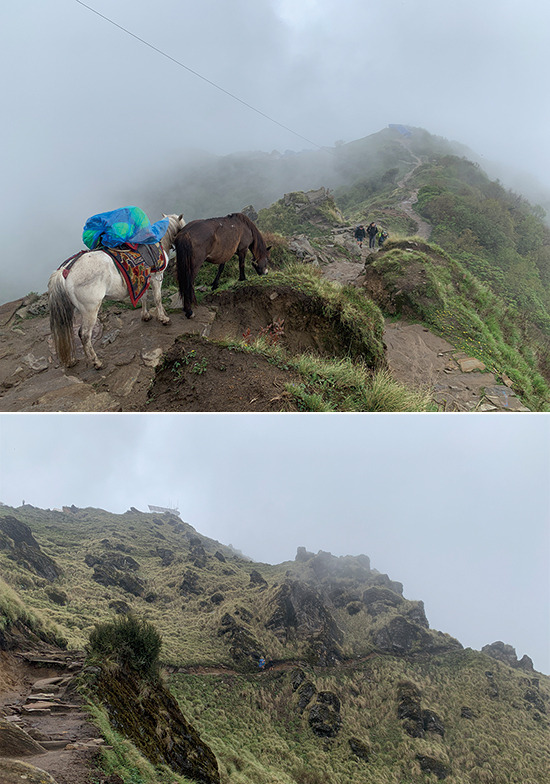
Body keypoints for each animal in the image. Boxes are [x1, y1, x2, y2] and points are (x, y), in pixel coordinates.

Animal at [48, 211, 185, 370]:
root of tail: (66, 270)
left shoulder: (143, 280)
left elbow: (144, 297)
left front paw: (146, 316)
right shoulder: (157, 277)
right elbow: (157, 298)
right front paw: (163, 318)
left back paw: (72, 360)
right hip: (90, 310)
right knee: (85, 334)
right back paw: (96, 362)